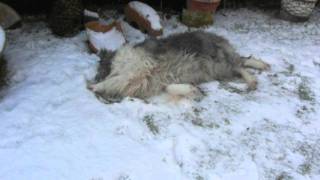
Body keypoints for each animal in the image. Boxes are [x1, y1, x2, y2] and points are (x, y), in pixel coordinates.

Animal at [88, 31, 270, 101]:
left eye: (99, 71)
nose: (95, 78)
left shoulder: (140, 69)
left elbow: (114, 81)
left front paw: (95, 86)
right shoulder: (155, 80)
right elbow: (169, 88)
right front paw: (193, 91)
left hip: (219, 60)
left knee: (241, 62)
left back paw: (256, 74)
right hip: (219, 69)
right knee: (241, 63)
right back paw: (258, 73)